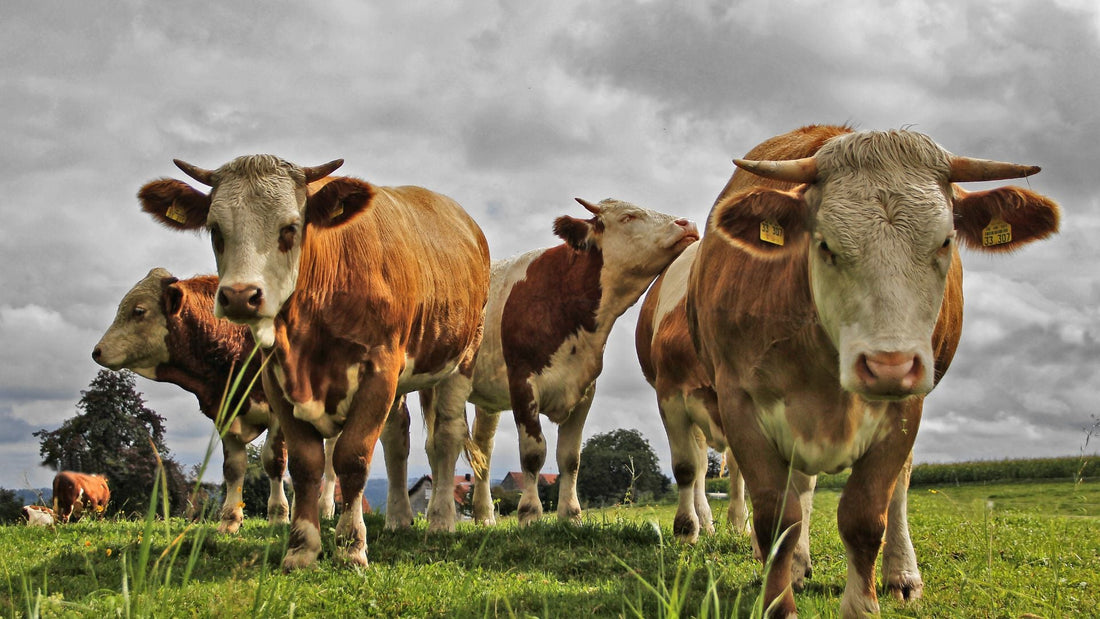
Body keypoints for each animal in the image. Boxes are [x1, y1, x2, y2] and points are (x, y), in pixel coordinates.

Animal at [136, 155, 490, 570]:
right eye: (215, 229)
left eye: (290, 227)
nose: (240, 296)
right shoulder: (276, 379)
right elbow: (306, 463)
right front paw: (302, 547)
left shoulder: (380, 370)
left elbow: (352, 457)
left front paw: (351, 545)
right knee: (396, 437)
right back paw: (399, 517)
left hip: (461, 357)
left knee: (446, 436)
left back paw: (439, 520)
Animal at [423, 198, 698, 525]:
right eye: (628, 217)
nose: (687, 223)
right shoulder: (522, 384)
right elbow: (533, 454)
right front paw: (529, 514)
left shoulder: (584, 389)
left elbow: (570, 458)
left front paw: (571, 515)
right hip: (437, 385)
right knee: (438, 444)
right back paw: (436, 514)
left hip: (486, 399)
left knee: (483, 448)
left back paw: (485, 516)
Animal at [670, 125, 1058, 617]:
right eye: (825, 244)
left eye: (945, 241)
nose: (888, 366)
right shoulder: (739, 401)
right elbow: (778, 516)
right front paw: (779, 599)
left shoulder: (905, 408)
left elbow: (866, 514)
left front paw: (862, 602)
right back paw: (798, 566)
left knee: (899, 490)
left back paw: (901, 573)